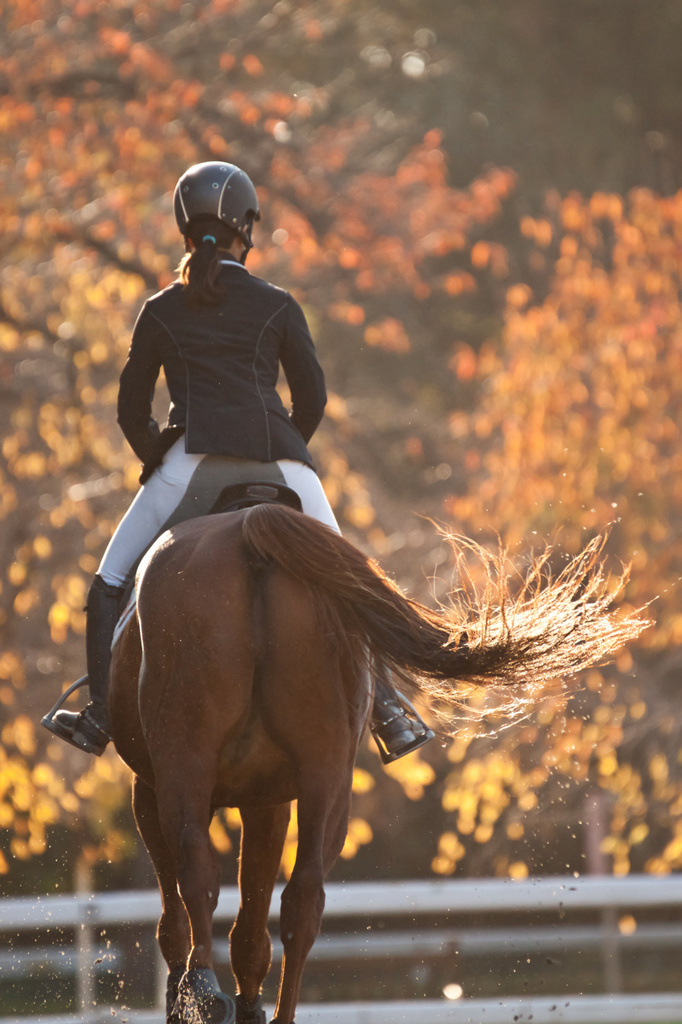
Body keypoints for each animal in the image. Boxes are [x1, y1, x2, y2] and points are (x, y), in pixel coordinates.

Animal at [106, 501, 643, 1024]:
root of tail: (247, 527)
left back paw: (199, 994)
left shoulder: (159, 791)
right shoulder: (265, 800)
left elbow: (190, 917)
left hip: (193, 764)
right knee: (300, 899)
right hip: (322, 777)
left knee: (200, 872)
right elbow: (250, 926)